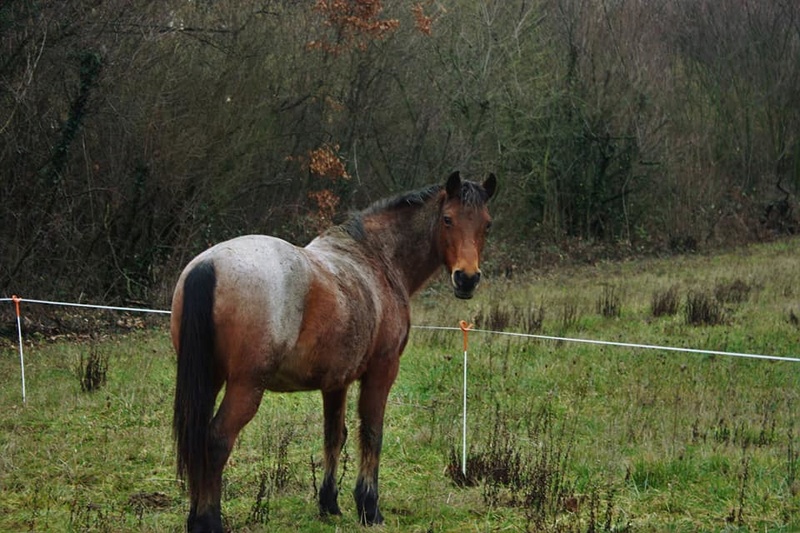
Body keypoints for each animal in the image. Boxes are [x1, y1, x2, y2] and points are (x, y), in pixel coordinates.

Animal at [170, 170, 494, 528]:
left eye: (486, 224)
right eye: (448, 219)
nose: (467, 278)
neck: (376, 259)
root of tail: (210, 266)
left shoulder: (336, 382)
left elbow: (334, 435)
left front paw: (329, 503)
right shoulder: (382, 371)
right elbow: (372, 433)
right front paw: (369, 507)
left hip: (210, 379)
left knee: (198, 438)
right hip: (245, 387)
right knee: (216, 441)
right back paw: (209, 521)